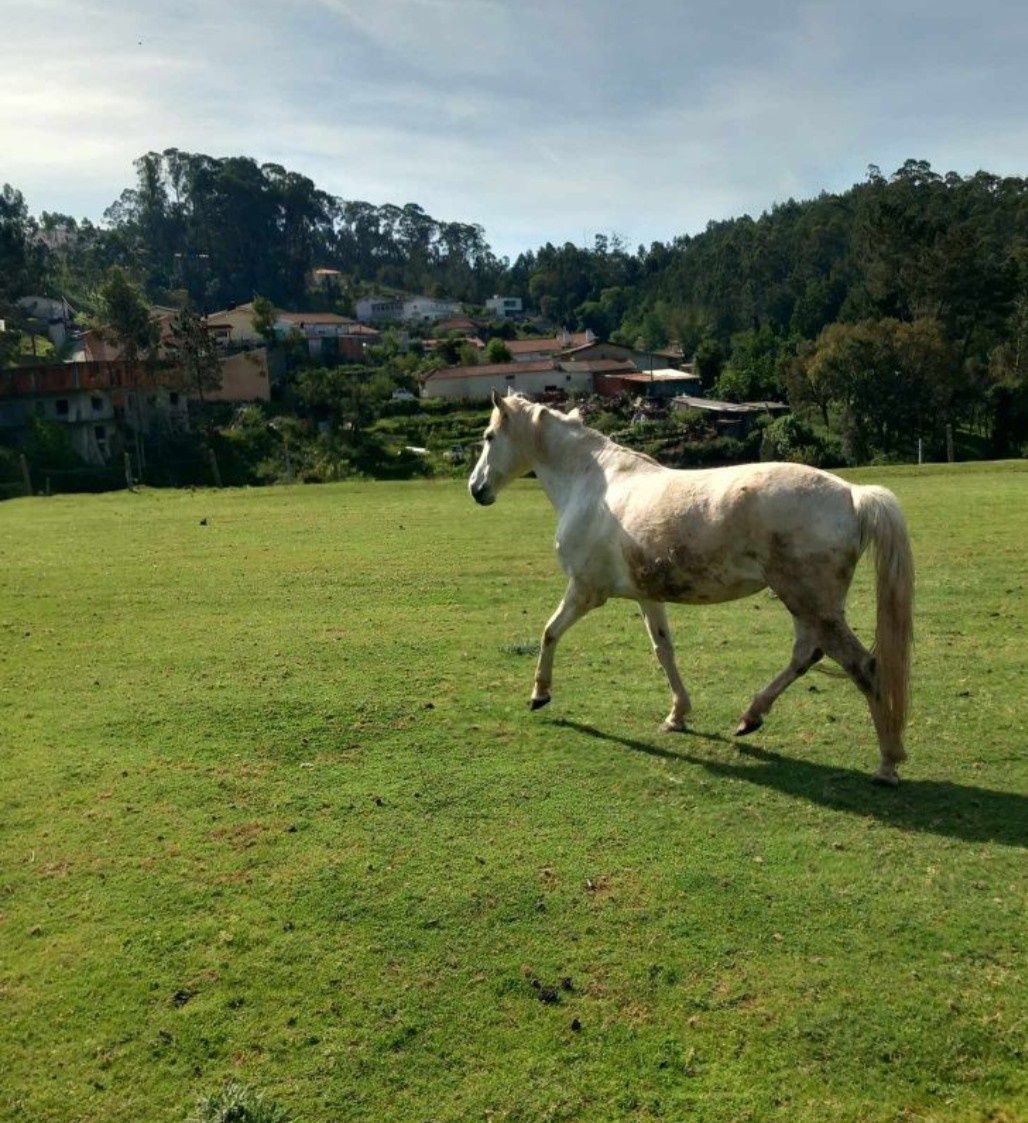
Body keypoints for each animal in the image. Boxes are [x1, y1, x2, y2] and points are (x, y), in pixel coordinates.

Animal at [467, 390, 916, 786]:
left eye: (489, 437)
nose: (475, 489)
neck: (592, 483)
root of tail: (852, 495)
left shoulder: (585, 591)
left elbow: (549, 632)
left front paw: (540, 694)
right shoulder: (647, 595)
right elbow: (663, 651)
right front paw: (677, 715)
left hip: (810, 603)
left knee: (863, 666)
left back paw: (887, 765)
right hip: (809, 606)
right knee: (807, 654)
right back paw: (750, 717)